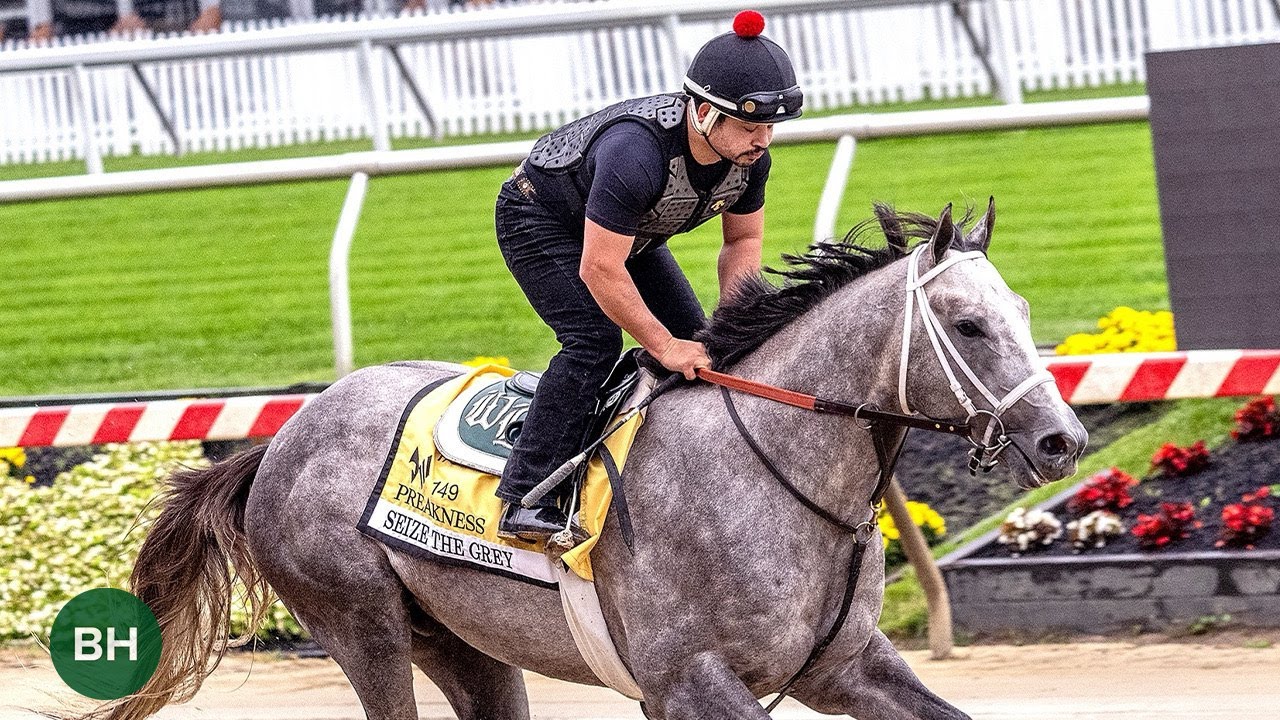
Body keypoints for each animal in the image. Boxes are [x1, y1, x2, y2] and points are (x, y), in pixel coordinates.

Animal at [90, 202, 1085, 717]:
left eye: (1023, 312)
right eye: (968, 325)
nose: (1062, 439)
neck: (778, 479)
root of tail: (287, 434)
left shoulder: (841, 668)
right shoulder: (690, 683)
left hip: (464, 644)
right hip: (360, 623)